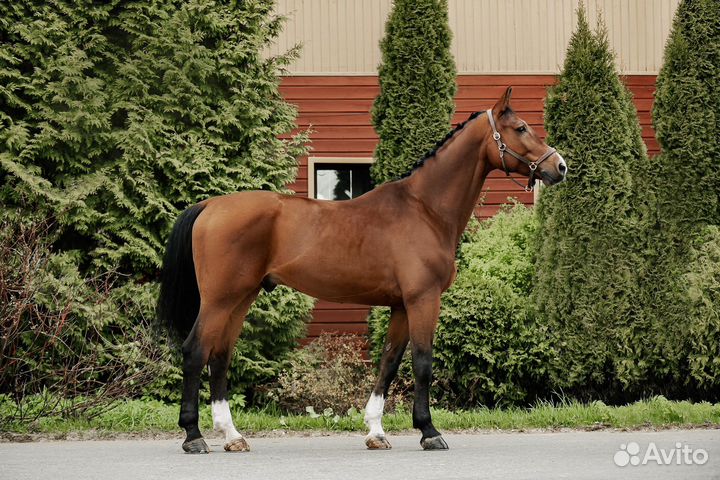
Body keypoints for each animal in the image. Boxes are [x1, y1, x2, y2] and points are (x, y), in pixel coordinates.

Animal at [158, 87, 568, 454]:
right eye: (521, 128)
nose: (559, 166)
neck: (424, 209)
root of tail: (210, 205)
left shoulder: (401, 305)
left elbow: (389, 362)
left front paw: (375, 431)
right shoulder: (423, 300)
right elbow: (422, 362)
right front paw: (429, 431)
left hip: (241, 298)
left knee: (220, 356)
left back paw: (232, 436)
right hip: (220, 299)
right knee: (195, 351)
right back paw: (194, 437)